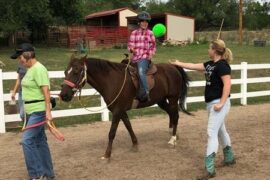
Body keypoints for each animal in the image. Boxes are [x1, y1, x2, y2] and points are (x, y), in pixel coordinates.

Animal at [59, 54, 190, 159]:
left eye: (76, 71)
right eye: (65, 72)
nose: (64, 95)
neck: (111, 80)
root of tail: (173, 67)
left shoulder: (117, 111)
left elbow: (112, 132)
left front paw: (107, 154)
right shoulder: (120, 111)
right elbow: (128, 126)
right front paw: (135, 144)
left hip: (173, 99)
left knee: (176, 115)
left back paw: (172, 140)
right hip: (161, 101)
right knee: (171, 113)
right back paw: (173, 134)